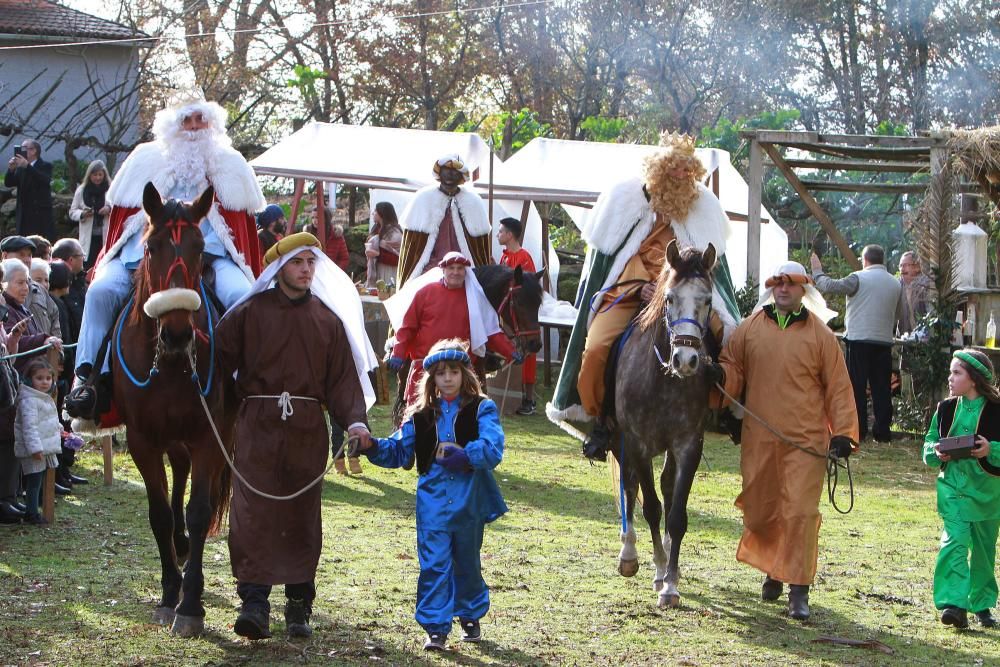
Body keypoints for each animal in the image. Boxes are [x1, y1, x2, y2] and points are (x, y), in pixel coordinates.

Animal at [112, 181, 233, 636]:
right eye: (151, 247)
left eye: (200, 247)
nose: (179, 332)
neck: (169, 363)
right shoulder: (142, 440)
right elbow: (160, 514)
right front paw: (168, 594)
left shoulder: (207, 438)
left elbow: (198, 512)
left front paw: (191, 604)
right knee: (177, 471)